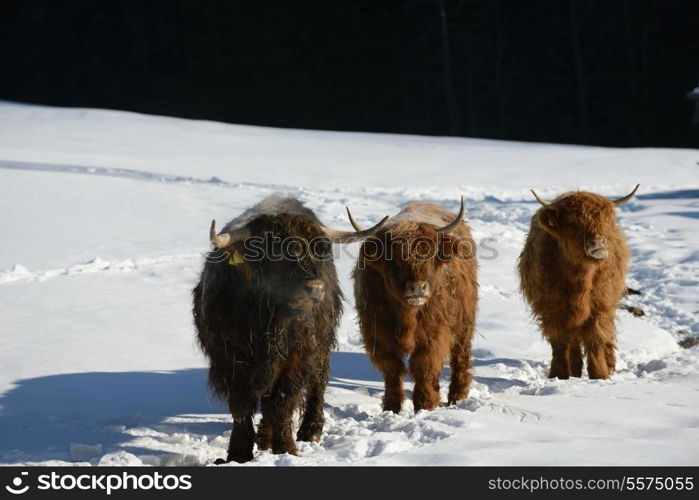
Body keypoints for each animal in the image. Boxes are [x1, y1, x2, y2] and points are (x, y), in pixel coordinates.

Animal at [352, 199, 478, 414]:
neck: (406, 315)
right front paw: (392, 407)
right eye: (393, 258)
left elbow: (423, 366)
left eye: (430, 254)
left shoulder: (433, 335)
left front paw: (424, 406)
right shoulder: (379, 335)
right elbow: (392, 369)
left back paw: (457, 398)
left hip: (464, 322)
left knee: (460, 357)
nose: (418, 287)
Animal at [520, 185, 640, 378]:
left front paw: (599, 375)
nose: (598, 242)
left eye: (605, 221)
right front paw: (558, 375)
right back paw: (575, 370)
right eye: (572, 223)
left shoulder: (600, 307)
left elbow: (595, 339)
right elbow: (559, 342)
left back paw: (609, 365)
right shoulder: (550, 309)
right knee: (573, 341)